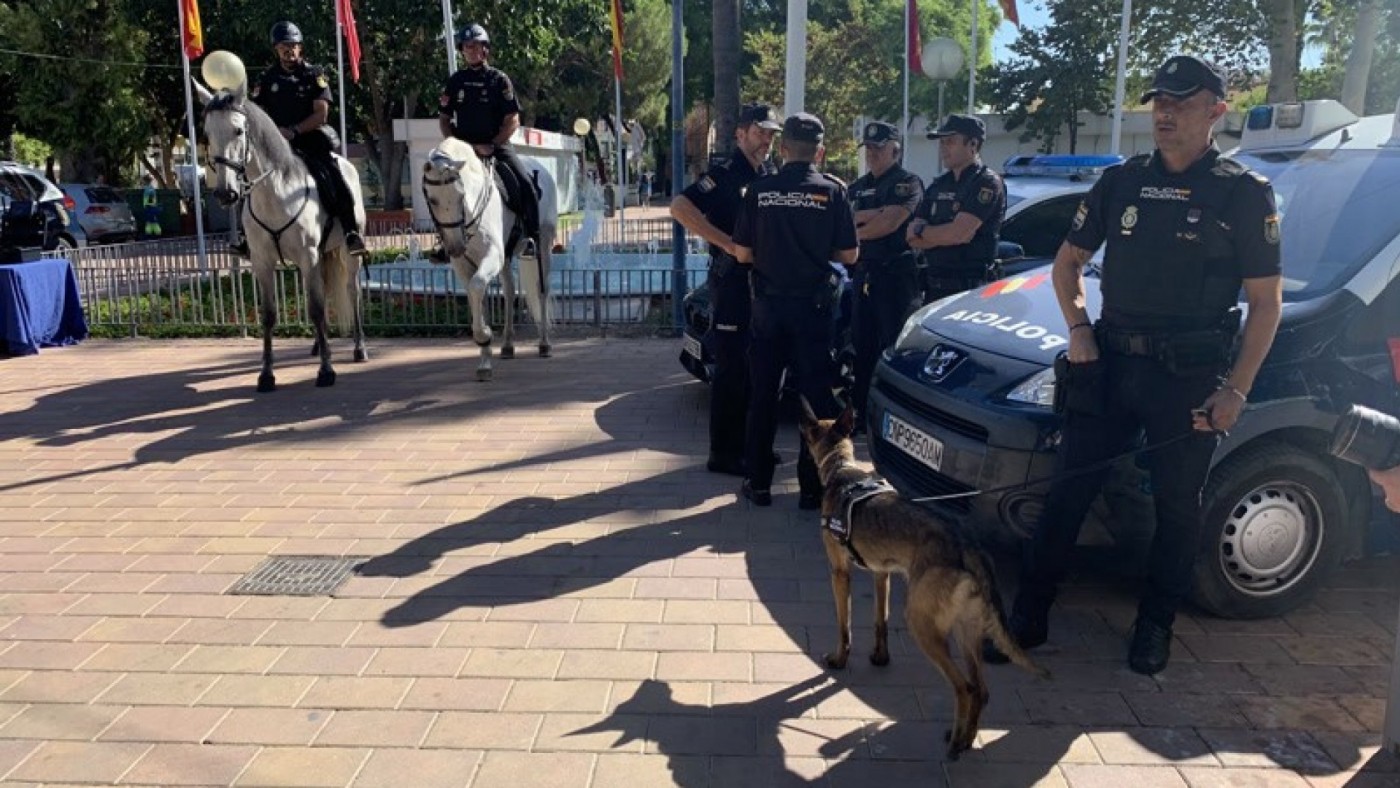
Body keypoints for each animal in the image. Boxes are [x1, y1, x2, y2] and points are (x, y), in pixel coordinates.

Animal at [194, 80, 366, 394]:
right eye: (208, 134)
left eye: (238, 131)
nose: (225, 193)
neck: (275, 193)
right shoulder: (263, 262)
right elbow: (270, 315)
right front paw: (266, 374)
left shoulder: (308, 257)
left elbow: (316, 309)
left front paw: (326, 371)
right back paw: (318, 346)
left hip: (348, 256)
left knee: (351, 291)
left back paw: (359, 347)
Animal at [422, 139, 554, 383]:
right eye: (432, 200)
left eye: (461, 195)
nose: (456, 246)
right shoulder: (464, 265)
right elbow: (478, 297)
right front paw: (484, 358)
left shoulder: (492, 256)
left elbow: (477, 287)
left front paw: (484, 335)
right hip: (506, 257)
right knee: (510, 291)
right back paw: (508, 345)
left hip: (543, 247)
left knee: (542, 290)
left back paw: (544, 344)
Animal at [800, 400, 1052, 755]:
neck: (842, 470)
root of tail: (968, 547)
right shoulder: (882, 575)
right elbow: (880, 622)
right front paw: (880, 658)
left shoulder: (840, 572)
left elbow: (843, 625)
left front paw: (839, 658)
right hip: (965, 630)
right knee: (981, 689)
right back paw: (966, 739)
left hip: (924, 627)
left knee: (964, 688)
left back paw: (957, 744)